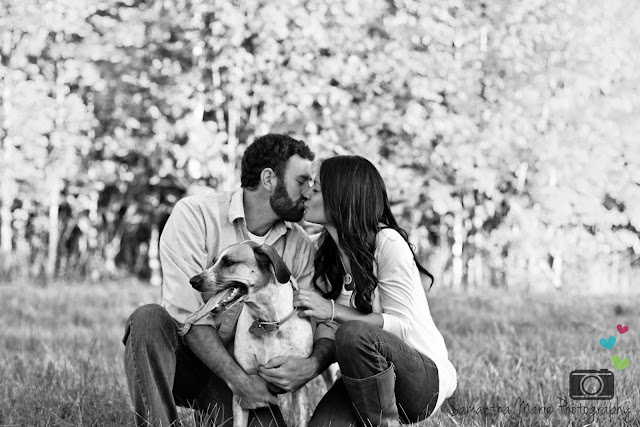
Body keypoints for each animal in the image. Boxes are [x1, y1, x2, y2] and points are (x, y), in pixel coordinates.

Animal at [186, 242, 314, 427]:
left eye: (229, 262)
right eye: (214, 261)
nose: (193, 281)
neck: (267, 323)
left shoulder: (298, 383)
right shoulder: (243, 391)